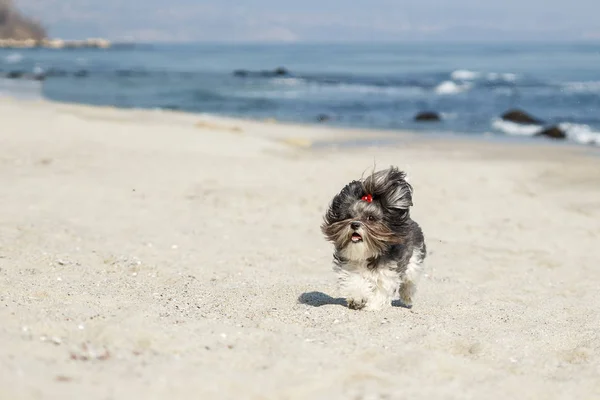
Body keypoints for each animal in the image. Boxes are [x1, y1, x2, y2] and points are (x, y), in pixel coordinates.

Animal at [322, 167, 424, 310]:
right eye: (349, 216)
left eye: (370, 218)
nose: (354, 224)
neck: (367, 253)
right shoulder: (350, 266)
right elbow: (355, 281)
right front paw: (357, 299)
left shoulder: (387, 271)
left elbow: (381, 289)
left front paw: (373, 305)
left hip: (414, 258)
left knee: (409, 280)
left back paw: (407, 297)